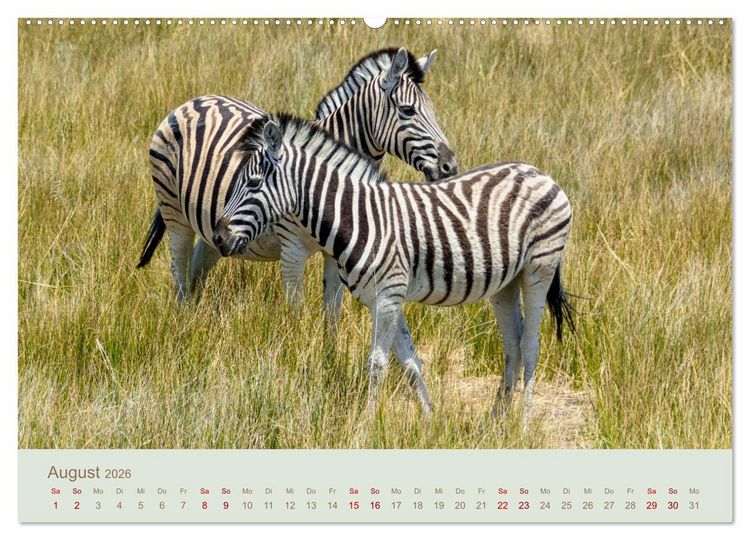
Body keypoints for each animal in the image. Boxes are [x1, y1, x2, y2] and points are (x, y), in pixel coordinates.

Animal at [137, 48, 457, 326]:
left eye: (432, 110)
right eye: (407, 111)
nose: (450, 166)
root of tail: (192, 101)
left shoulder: (335, 253)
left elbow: (332, 315)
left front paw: (330, 357)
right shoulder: (292, 250)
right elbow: (295, 314)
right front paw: (294, 353)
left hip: (212, 229)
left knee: (195, 273)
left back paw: (193, 324)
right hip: (174, 213)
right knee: (179, 272)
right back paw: (181, 325)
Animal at [213, 115, 575, 416]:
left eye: (254, 183)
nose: (218, 237)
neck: (358, 218)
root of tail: (540, 173)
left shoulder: (388, 296)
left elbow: (377, 364)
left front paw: (366, 423)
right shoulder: (384, 299)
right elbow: (410, 361)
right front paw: (429, 418)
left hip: (539, 268)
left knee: (530, 344)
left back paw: (523, 421)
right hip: (505, 283)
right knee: (512, 344)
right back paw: (497, 419)